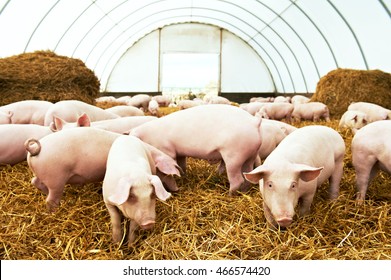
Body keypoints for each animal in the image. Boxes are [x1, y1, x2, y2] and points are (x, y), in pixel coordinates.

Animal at [132, 104, 264, 194]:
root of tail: (254, 122)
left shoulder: (166, 150)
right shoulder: (179, 153)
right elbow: (182, 165)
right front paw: (183, 176)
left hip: (234, 156)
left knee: (237, 180)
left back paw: (230, 194)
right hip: (251, 155)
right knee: (247, 175)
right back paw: (243, 192)